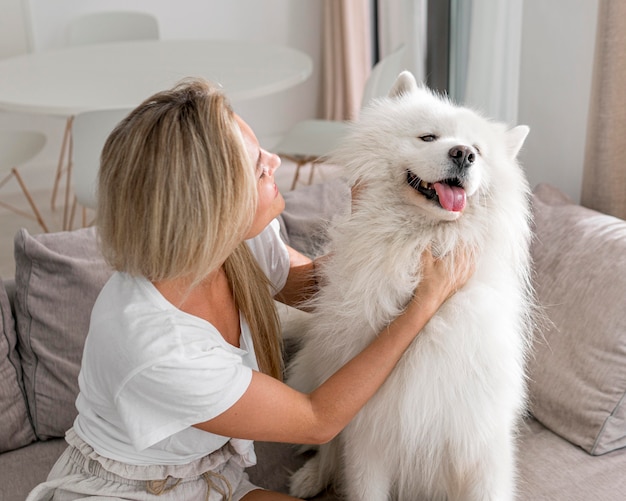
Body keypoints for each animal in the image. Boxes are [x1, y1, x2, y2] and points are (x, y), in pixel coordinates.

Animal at [286, 71, 532, 500]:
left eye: (478, 152)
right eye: (428, 137)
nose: (463, 154)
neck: (419, 247)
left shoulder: (479, 441)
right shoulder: (367, 437)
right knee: (326, 444)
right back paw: (311, 477)